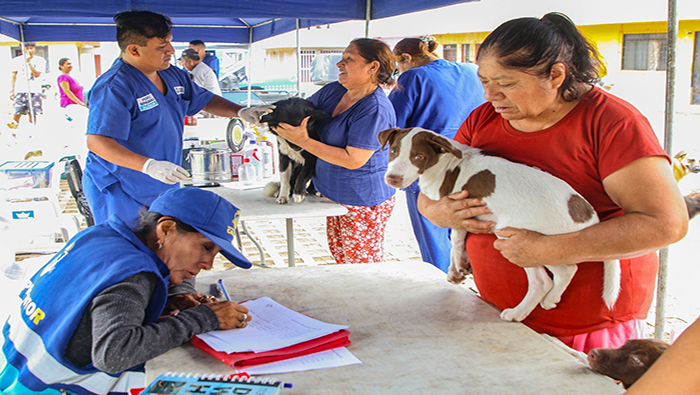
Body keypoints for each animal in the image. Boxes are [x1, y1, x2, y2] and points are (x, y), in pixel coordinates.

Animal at [380, 128, 620, 324]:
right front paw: (460, 269)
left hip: (524, 240)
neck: (446, 162)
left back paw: (520, 311)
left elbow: (456, 243)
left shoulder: (456, 212)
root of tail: (586, 214)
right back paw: (551, 300)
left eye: (418, 157)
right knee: (566, 270)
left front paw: (455, 269)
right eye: (393, 151)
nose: (392, 179)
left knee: (549, 278)